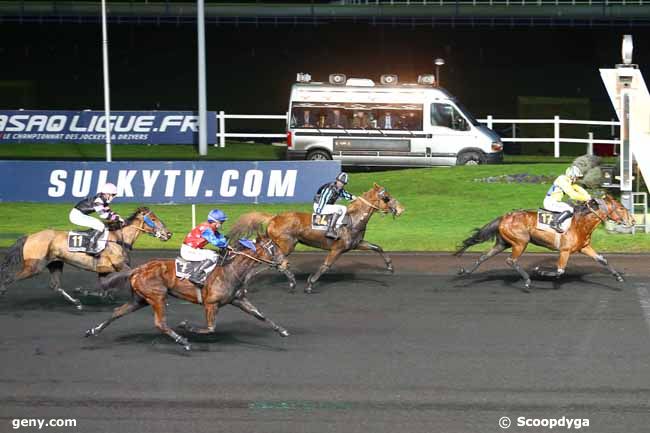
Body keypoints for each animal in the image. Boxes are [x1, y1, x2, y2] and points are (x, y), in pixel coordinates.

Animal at [0, 206, 171, 308]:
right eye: (153, 219)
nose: (168, 234)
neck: (117, 238)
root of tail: (29, 236)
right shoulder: (121, 266)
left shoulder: (104, 270)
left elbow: (104, 288)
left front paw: (89, 293)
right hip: (34, 266)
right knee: (10, 278)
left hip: (55, 263)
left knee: (55, 285)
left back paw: (77, 302)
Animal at [85, 235, 298, 350]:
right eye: (273, 248)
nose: (287, 264)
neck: (230, 269)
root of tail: (138, 269)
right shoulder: (211, 304)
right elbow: (210, 328)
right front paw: (186, 326)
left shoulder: (238, 299)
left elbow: (259, 315)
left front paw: (282, 330)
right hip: (157, 297)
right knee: (160, 323)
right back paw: (183, 341)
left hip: (140, 299)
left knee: (117, 312)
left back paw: (93, 330)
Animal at [225, 182, 402, 294]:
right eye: (386, 197)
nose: (401, 209)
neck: (353, 220)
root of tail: (274, 217)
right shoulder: (337, 249)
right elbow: (325, 266)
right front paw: (309, 285)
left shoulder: (355, 244)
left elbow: (377, 247)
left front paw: (390, 267)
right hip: (285, 245)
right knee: (272, 262)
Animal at [454, 195, 632, 290]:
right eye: (621, 208)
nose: (632, 221)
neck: (580, 223)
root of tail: (504, 217)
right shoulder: (565, 251)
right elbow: (559, 271)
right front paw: (539, 271)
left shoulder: (584, 247)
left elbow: (602, 260)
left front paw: (618, 277)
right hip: (520, 242)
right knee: (511, 260)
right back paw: (527, 280)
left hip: (502, 243)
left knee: (484, 256)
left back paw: (465, 272)